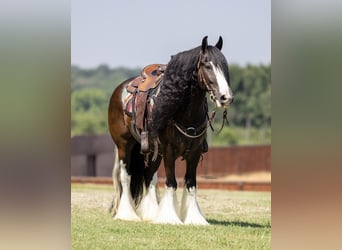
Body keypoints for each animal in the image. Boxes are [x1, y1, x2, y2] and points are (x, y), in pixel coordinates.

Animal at [108, 35, 234, 225]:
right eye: (207, 65)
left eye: (224, 65)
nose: (226, 97)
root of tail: (120, 89)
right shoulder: (169, 150)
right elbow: (171, 182)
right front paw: (170, 218)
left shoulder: (195, 151)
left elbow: (191, 184)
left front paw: (194, 219)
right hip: (124, 145)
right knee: (126, 176)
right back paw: (127, 214)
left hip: (153, 152)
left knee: (149, 177)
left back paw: (151, 213)